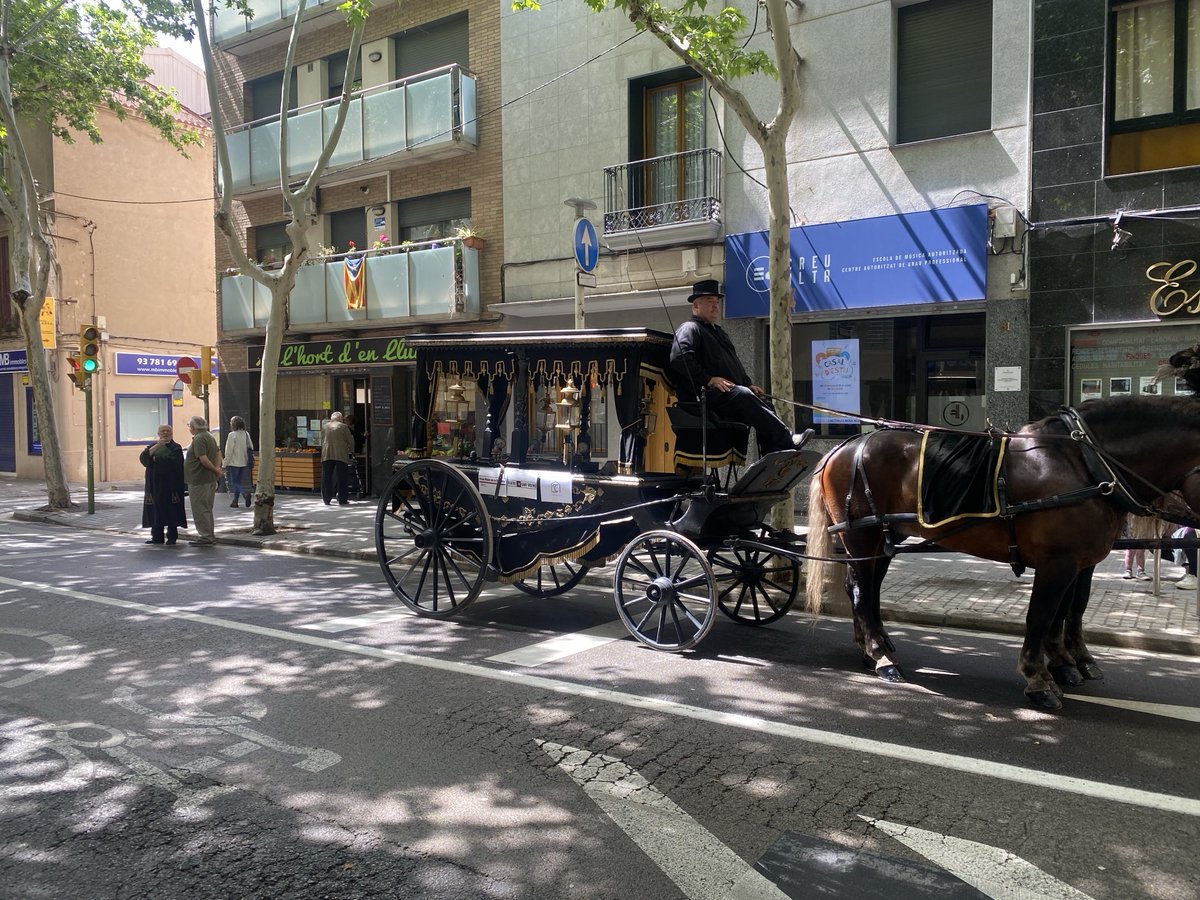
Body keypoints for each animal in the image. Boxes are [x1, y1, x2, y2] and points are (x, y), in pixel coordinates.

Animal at [801, 388, 1200, 710]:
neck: (1086, 464)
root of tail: (845, 447)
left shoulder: (1079, 562)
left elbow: (1069, 611)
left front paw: (1068, 663)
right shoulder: (1058, 563)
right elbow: (1042, 616)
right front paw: (1039, 679)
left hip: (884, 536)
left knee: (867, 590)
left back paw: (875, 647)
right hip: (861, 535)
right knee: (860, 589)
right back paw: (881, 657)